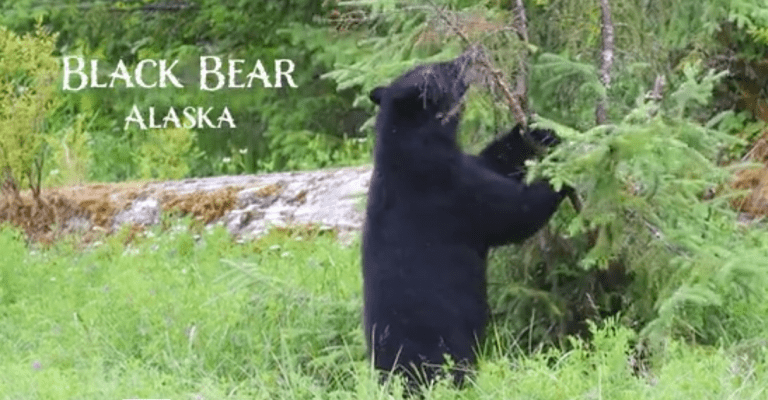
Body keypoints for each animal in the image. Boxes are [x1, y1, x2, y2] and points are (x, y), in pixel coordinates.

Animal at [362, 53, 571, 389]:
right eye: (447, 68)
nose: (468, 56)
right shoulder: (448, 192)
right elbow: (512, 213)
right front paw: (562, 172)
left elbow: (494, 160)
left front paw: (537, 128)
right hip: (439, 343)